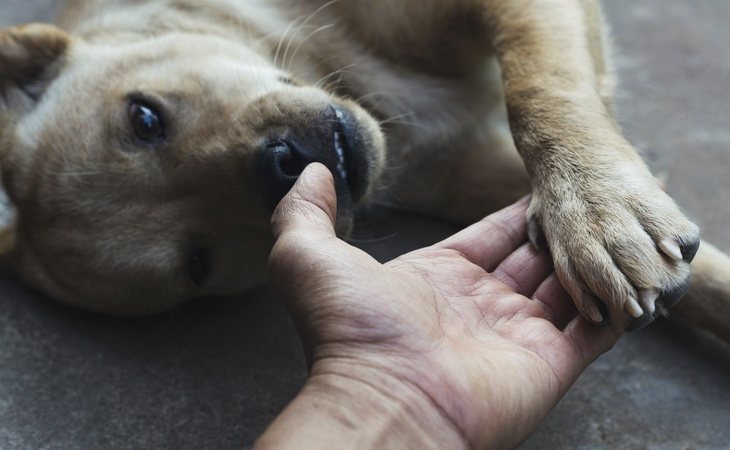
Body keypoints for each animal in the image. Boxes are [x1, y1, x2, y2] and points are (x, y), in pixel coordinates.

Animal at [0, 0, 724, 340]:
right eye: (195, 263)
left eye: (144, 119)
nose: (283, 165)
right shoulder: (472, 173)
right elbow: (713, 281)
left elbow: (540, 89)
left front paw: (595, 211)